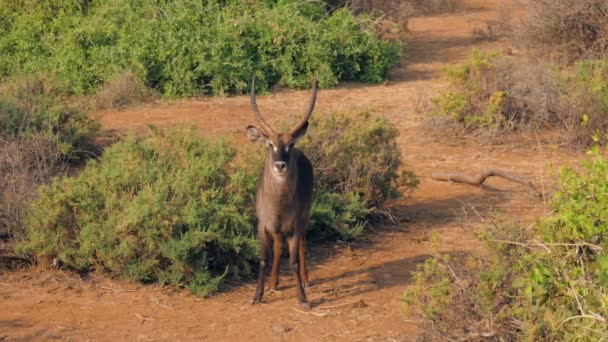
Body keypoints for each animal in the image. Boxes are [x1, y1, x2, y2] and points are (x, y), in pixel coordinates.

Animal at [247, 75, 318, 310]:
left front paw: (303, 299)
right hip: (277, 229)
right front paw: (257, 295)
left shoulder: (294, 226)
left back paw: (306, 280)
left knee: (303, 242)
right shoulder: (263, 226)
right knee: (278, 248)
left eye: (291, 144)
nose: (280, 165)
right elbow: (263, 259)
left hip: (305, 216)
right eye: (270, 144)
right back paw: (273, 283)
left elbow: (294, 260)